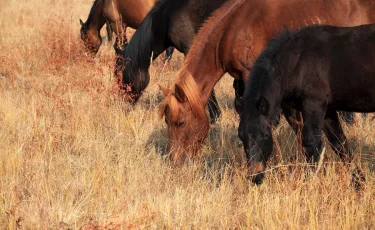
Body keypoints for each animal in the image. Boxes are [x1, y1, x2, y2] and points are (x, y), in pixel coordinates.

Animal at [239, 23, 375, 185]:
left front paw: (307, 183)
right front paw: (360, 183)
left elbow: (312, 144)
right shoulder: (328, 110)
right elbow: (340, 144)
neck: (296, 61)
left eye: (266, 135)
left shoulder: (314, 105)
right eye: (241, 136)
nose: (255, 176)